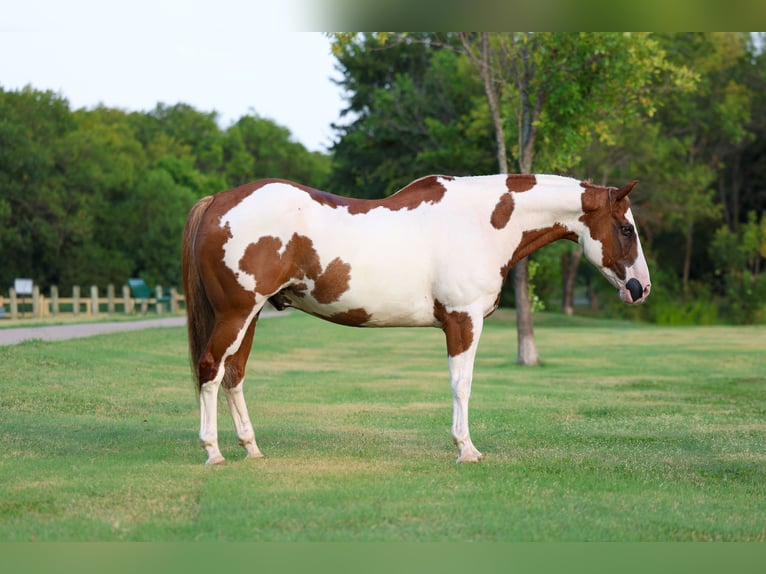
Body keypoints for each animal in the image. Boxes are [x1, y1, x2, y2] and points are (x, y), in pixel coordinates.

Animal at [181, 174, 651, 465]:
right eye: (626, 228)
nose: (640, 288)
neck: (482, 222)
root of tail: (218, 201)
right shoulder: (464, 321)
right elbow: (462, 385)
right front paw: (466, 449)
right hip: (236, 313)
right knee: (210, 369)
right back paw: (213, 452)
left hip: (250, 315)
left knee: (234, 375)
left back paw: (252, 449)